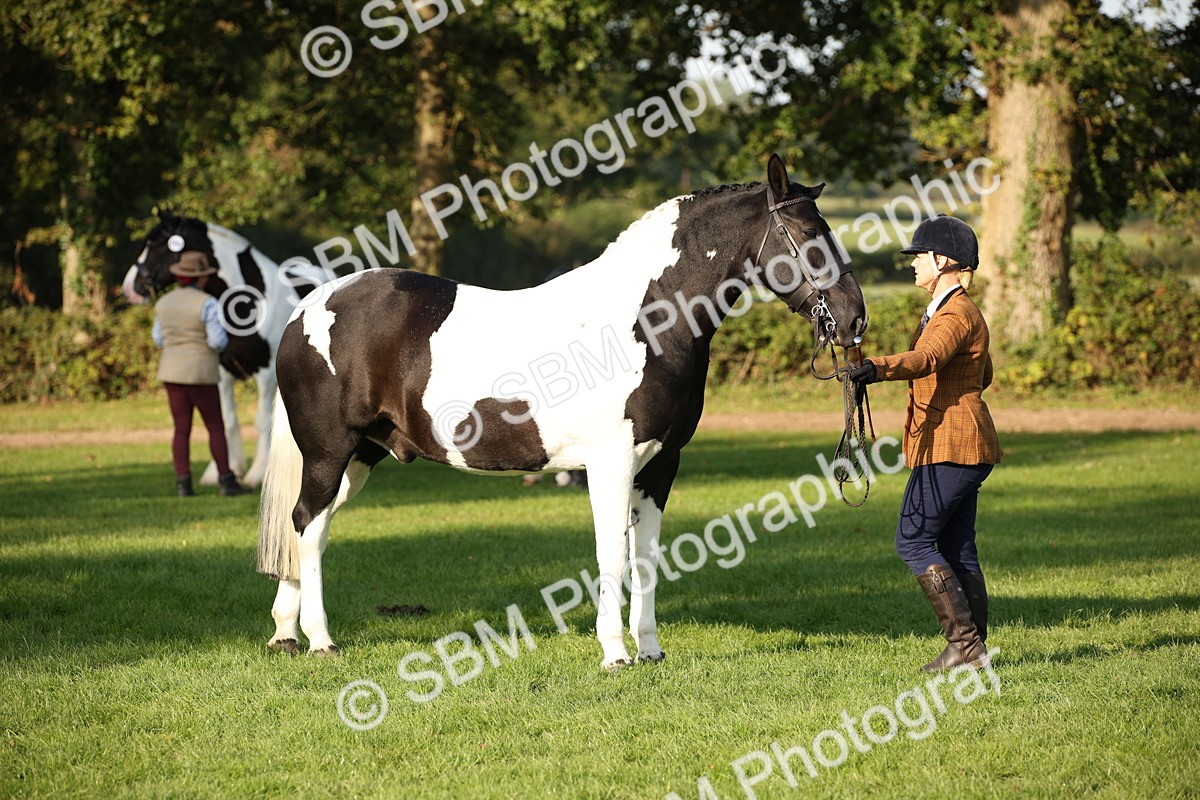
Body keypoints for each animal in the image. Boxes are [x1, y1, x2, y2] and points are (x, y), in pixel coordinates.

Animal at [122, 212, 333, 487]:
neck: (248, 302)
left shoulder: (265, 374)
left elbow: (261, 421)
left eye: (157, 246)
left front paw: (255, 474)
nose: (129, 289)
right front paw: (225, 471)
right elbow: (226, 421)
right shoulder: (221, 373)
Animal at [257, 154, 869, 669]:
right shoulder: (610, 463)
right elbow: (611, 554)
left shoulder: (659, 467)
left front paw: (650, 650)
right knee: (307, 523)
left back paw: (286, 632)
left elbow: (646, 557)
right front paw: (615, 653)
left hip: (361, 456)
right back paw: (320, 640)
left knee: (308, 524)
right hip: (330, 452)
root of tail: (307, 307)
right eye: (808, 236)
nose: (853, 317)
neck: (645, 321)